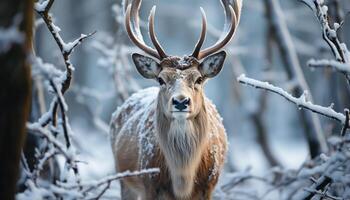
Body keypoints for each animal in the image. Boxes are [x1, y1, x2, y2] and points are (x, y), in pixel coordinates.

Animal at [110, 0, 242, 198]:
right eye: (161, 79)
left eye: (199, 79)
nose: (181, 102)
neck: (183, 182)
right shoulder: (150, 185)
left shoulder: (209, 185)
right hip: (124, 180)